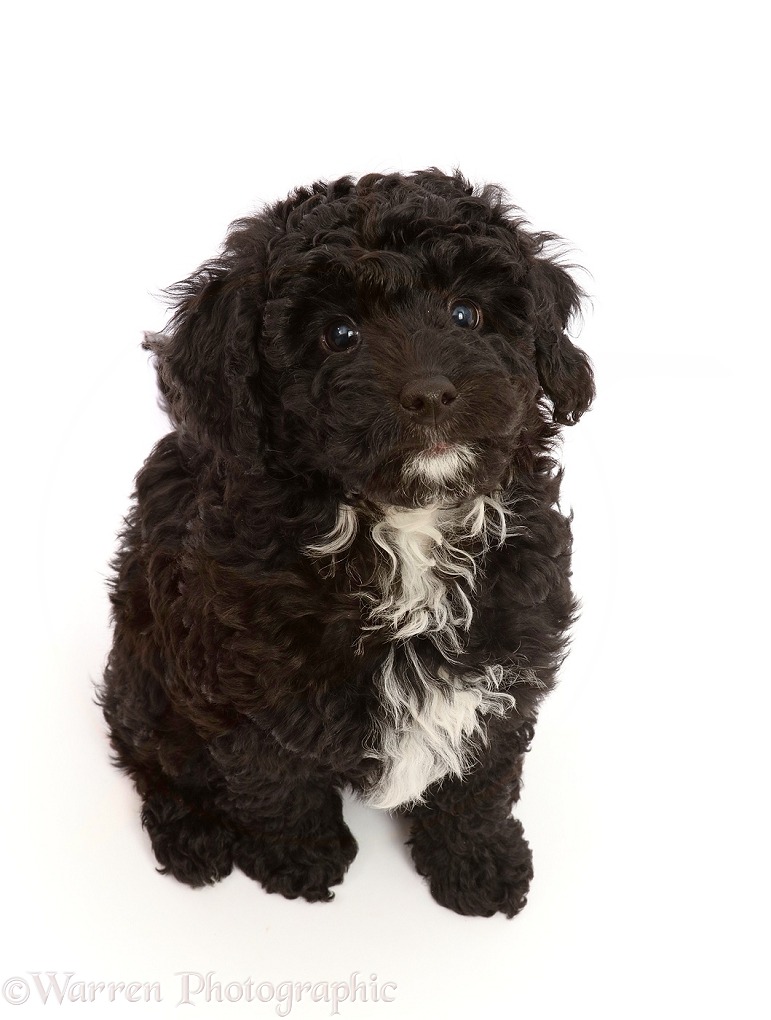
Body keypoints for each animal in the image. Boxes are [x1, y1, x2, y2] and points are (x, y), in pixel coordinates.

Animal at [100, 167, 595, 918]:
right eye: (339, 334)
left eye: (466, 315)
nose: (430, 394)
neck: (403, 525)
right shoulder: (237, 678)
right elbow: (274, 776)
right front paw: (298, 859)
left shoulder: (508, 649)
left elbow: (482, 774)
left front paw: (479, 863)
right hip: (146, 657)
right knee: (152, 752)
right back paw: (193, 838)